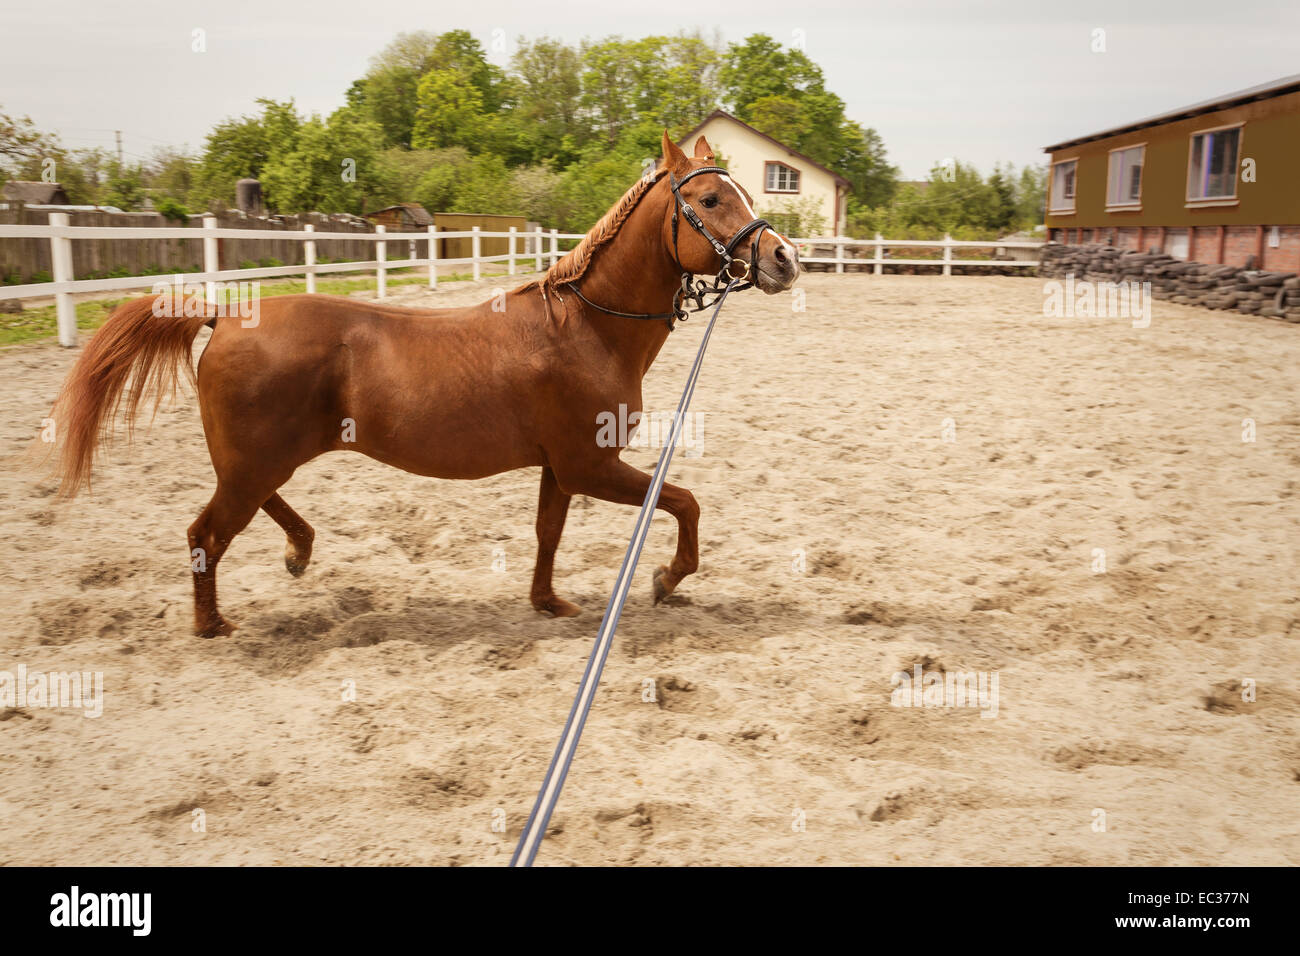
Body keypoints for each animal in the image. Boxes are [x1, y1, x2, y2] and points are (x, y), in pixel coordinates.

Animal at [50, 131, 801, 638]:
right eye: (710, 198)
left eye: (746, 192)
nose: (784, 258)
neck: (585, 325)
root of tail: (226, 314)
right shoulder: (590, 465)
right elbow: (684, 501)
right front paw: (666, 579)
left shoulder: (559, 469)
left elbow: (548, 534)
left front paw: (548, 602)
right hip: (253, 463)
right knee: (206, 532)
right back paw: (214, 623)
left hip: (257, 460)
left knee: (254, 509)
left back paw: (299, 552)